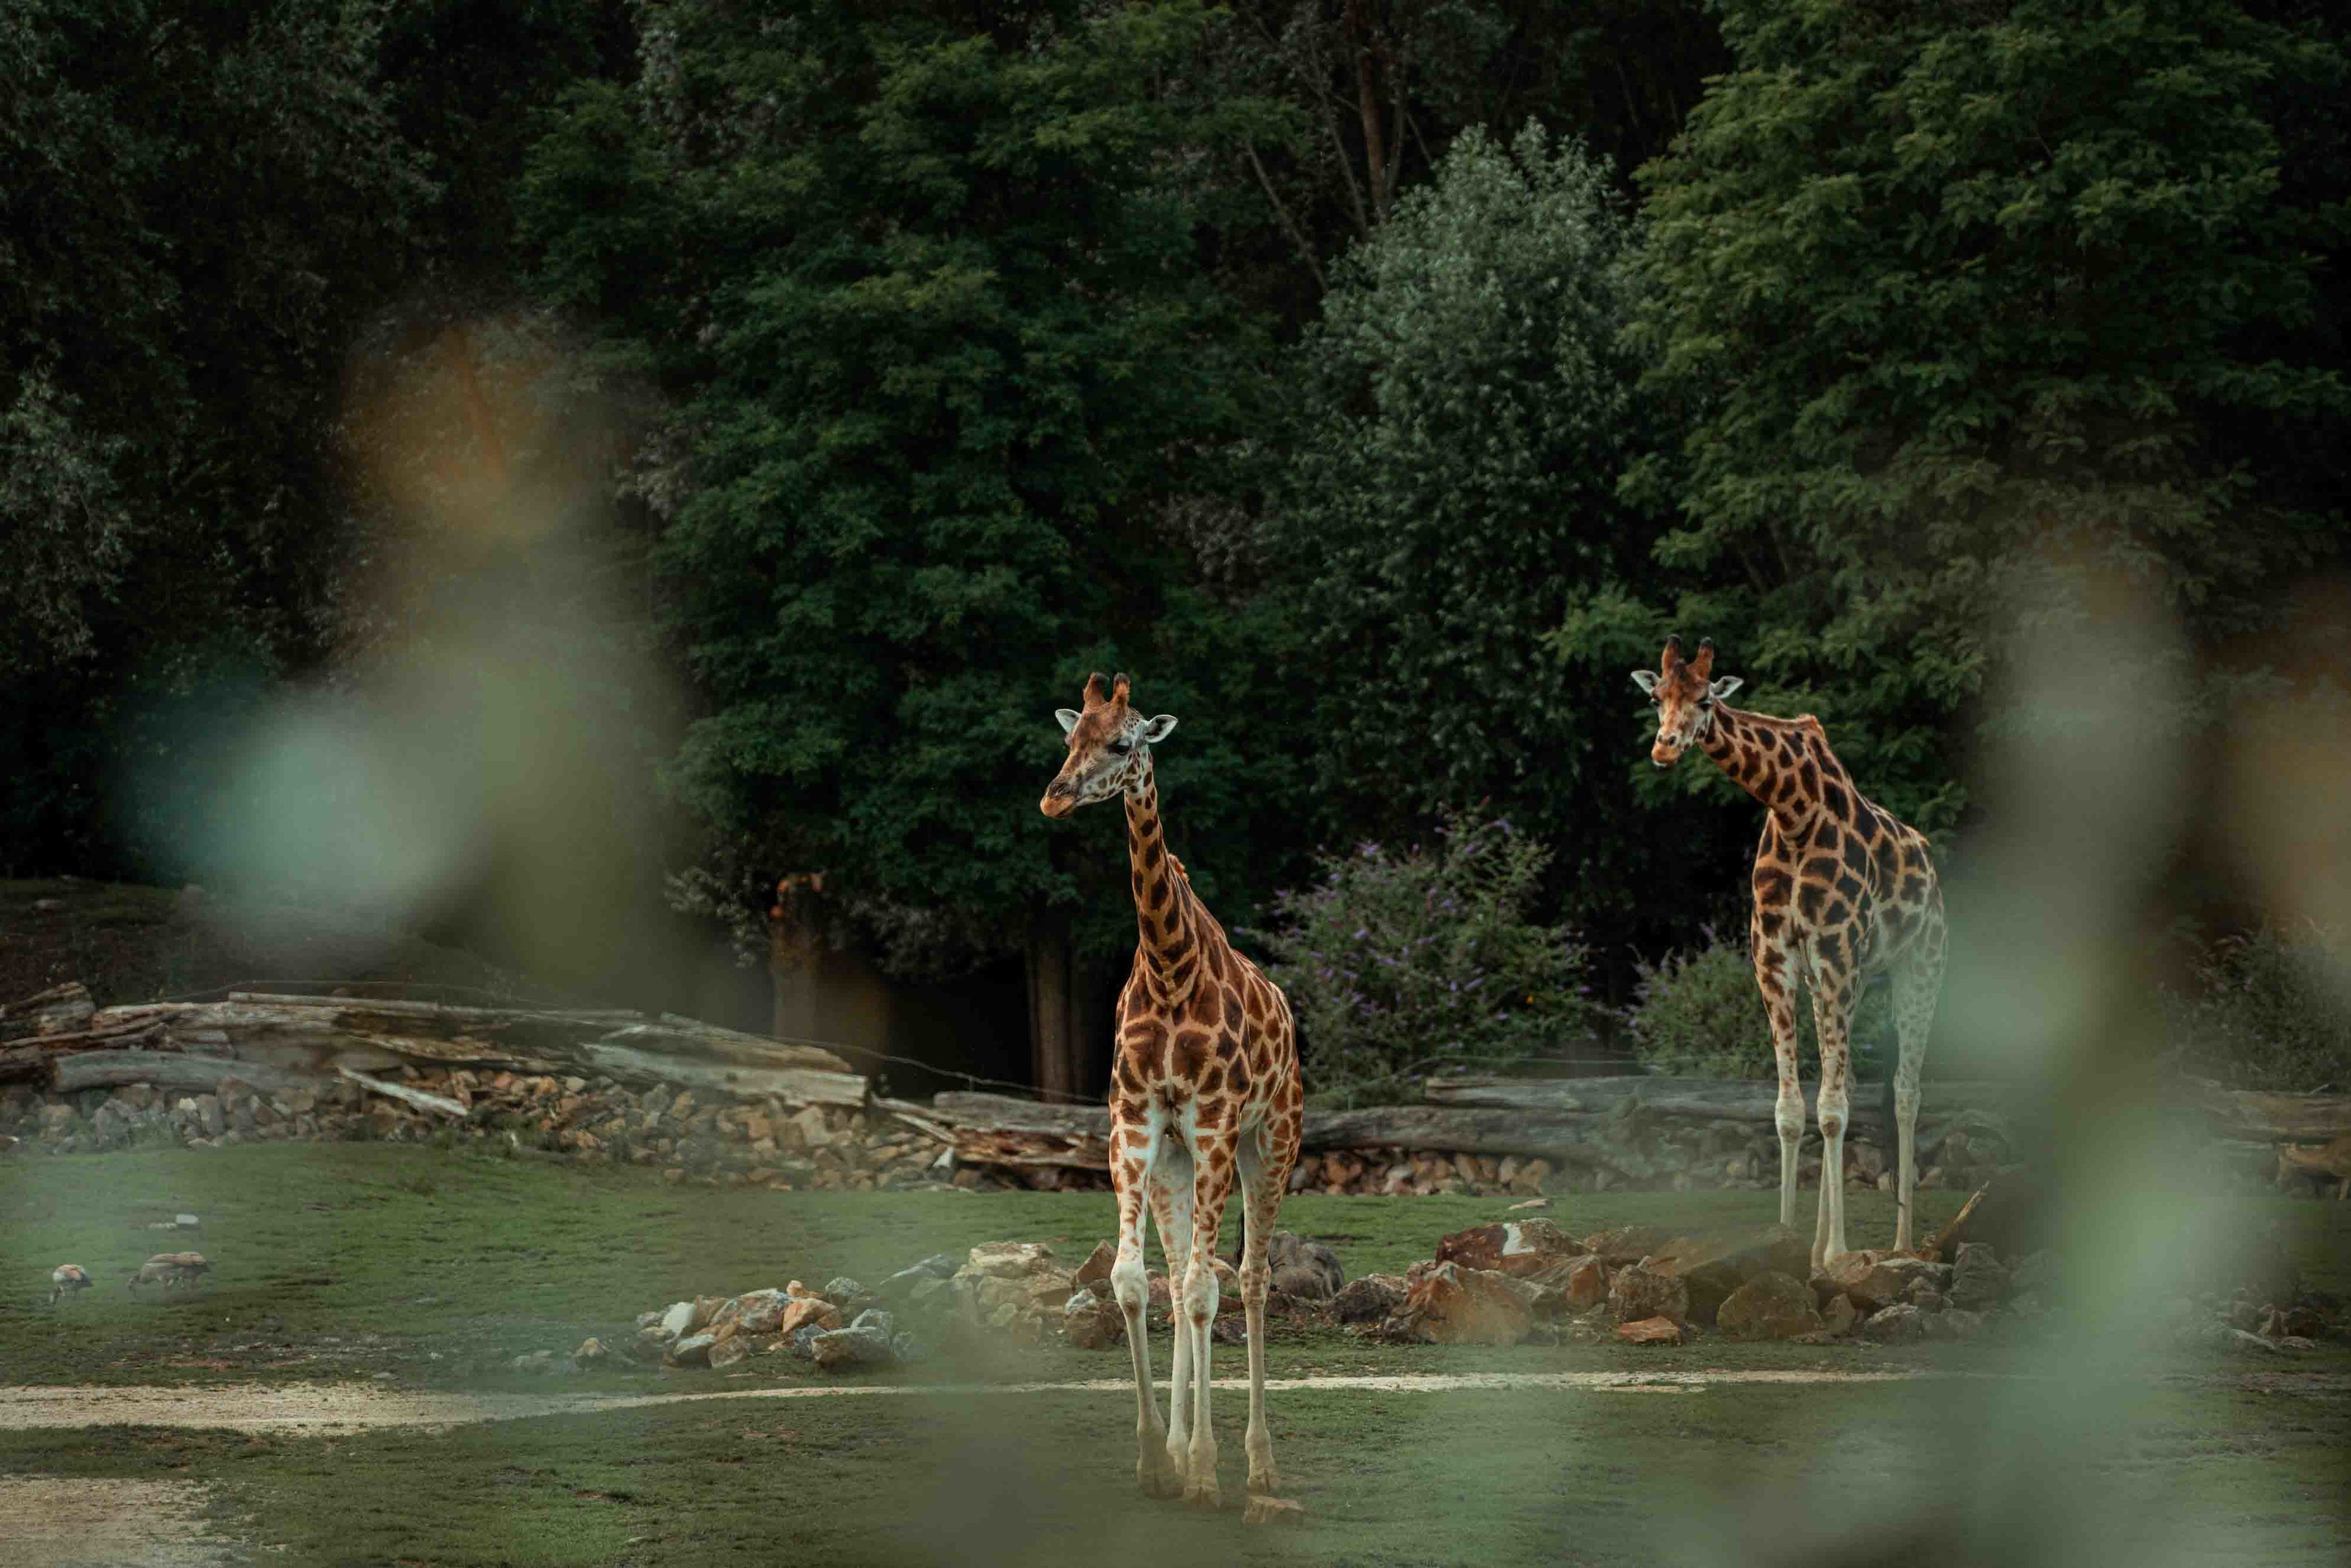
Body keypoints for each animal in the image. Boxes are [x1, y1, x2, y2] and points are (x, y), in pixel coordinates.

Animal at [1039, 672, 1304, 1513]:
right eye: (1071, 737)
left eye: (1124, 742)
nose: (1055, 797)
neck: (1168, 964)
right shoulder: (1134, 1123)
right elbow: (1132, 1281)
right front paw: (1160, 1460)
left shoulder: (1216, 1122)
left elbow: (1199, 1288)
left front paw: (1206, 1470)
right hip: (1178, 1161)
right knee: (1189, 1269)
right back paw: (1190, 1454)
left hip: (1269, 1142)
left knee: (1244, 1281)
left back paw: (1258, 1467)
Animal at [1634, 636, 1947, 1266]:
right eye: (1657, 697)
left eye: (1705, 699)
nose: (1664, 747)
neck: (1793, 809)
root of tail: (1931, 862)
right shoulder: (1776, 961)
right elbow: (1791, 1111)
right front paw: (1787, 1243)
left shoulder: (1836, 951)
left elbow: (1831, 1110)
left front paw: (1836, 1255)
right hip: (1843, 981)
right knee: (1848, 1086)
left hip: (1920, 965)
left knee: (1905, 1092)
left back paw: (1900, 1244)